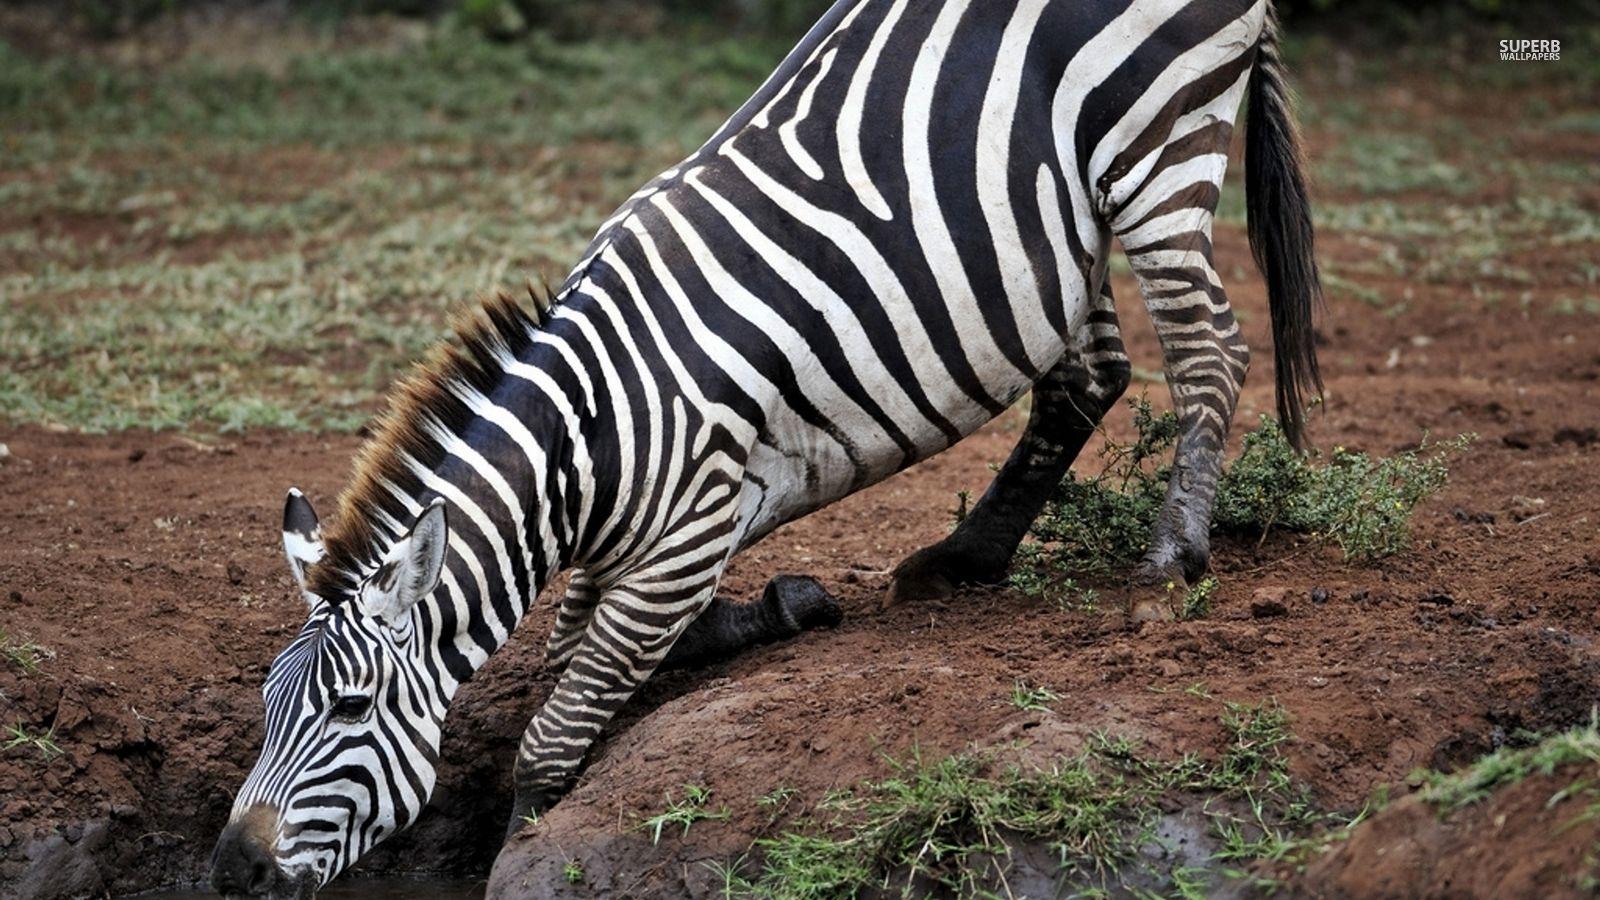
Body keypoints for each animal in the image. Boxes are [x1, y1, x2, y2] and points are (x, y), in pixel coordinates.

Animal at [210, 0, 1321, 894]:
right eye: (264, 707)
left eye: (351, 710)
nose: (230, 873)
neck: (589, 438)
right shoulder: (643, 548)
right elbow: (584, 650)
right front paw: (784, 607)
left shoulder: (685, 533)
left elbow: (553, 734)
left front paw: (519, 841)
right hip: (1063, 219)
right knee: (1085, 376)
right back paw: (965, 556)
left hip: (1158, 146)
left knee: (1210, 349)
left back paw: (1170, 559)